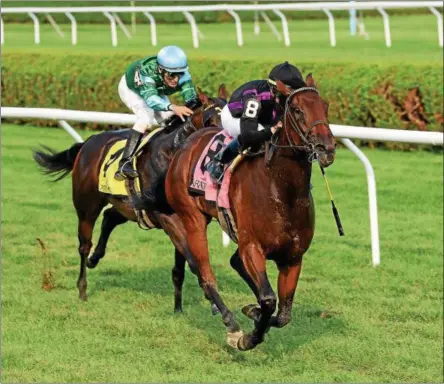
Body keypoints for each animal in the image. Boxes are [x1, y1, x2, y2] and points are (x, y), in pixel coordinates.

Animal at [33, 86, 227, 306]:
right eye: (212, 121)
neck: (171, 156)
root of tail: (88, 142)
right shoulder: (167, 217)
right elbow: (194, 262)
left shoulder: (187, 218)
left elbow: (181, 268)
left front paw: (179, 308)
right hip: (87, 207)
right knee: (84, 244)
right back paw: (82, 288)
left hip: (127, 206)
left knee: (109, 217)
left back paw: (95, 258)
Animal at [165, 75, 334, 352]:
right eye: (297, 110)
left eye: (325, 107)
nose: (326, 148)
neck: (282, 191)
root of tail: (188, 142)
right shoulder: (252, 247)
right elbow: (268, 299)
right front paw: (247, 337)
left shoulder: (293, 257)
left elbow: (283, 313)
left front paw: (255, 314)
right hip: (192, 219)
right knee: (206, 276)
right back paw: (231, 323)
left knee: (234, 262)